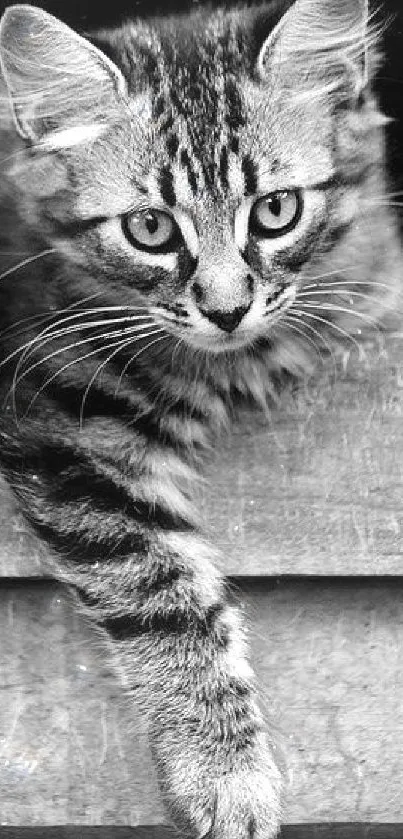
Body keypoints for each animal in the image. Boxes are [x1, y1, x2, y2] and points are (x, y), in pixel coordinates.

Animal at [0, 0, 400, 836]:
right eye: (151, 229)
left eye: (275, 211)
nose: (224, 309)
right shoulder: (63, 420)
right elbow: (160, 591)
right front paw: (223, 772)